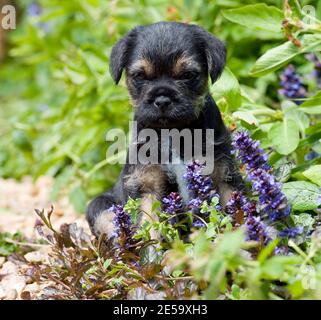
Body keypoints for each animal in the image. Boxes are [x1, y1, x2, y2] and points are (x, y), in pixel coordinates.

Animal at [86, 21, 241, 238]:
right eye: (140, 76)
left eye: (188, 75)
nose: (162, 99)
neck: (173, 133)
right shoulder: (148, 186)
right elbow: (149, 225)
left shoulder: (222, 175)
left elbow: (234, 208)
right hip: (100, 204)